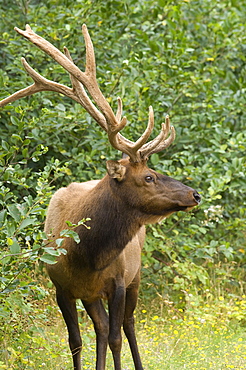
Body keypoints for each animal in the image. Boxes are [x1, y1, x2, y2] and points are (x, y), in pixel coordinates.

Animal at [0, 24, 201, 368]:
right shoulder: (62, 287)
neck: (85, 255)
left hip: (135, 275)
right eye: (149, 176)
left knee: (127, 325)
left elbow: (118, 337)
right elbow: (76, 341)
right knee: (103, 328)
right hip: (93, 295)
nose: (195, 194)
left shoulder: (118, 281)